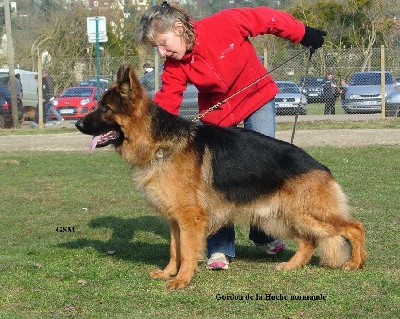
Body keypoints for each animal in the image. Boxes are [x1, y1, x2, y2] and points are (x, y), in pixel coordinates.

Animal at [75, 64, 366, 290]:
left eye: (105, 108)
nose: (77, 123)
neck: (158, 142)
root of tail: (320, 166)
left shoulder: (190, 218)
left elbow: (187, 252)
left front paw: (182, 280)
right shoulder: (175, 219)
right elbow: (174, 249)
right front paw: (169, 272)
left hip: (304, 214)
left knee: (355, 227)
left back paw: (356, 262)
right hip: (279, 216)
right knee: (309, 240)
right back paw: (292, 266)